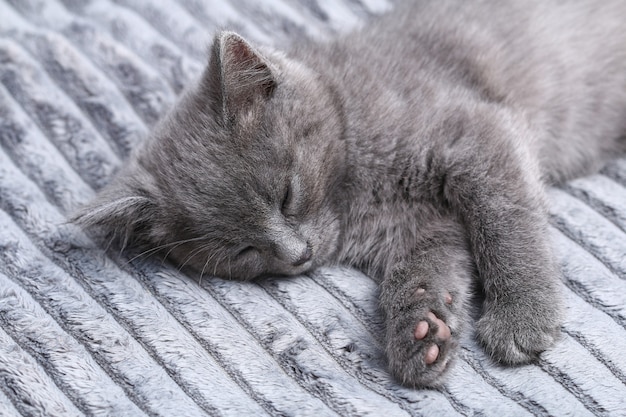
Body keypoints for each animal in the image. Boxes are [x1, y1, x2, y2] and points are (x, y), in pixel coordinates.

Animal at [75, 0, 624, 386]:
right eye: (242, 251)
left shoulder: (476, 135)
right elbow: (425, 266)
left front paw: (522, 318)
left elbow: (506, 221)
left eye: (287, 194)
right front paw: (423, 329)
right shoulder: (424, 225)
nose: (298, 255)